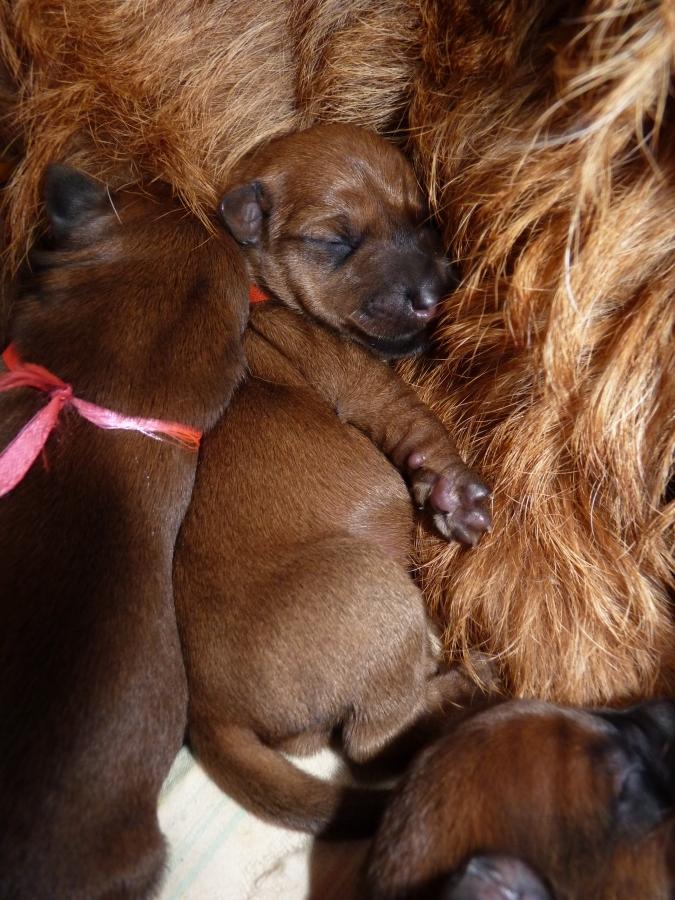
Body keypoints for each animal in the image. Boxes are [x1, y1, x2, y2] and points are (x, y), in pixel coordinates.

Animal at [173, 123, 492, 837]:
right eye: (335, 242)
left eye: (422, 219)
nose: (433, 295)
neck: (261, 290)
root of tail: (208, 713)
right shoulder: (372, 389)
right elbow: (426, 431)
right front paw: (457, 496)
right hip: (373, 588)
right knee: (373, 740)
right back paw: (468, 683)